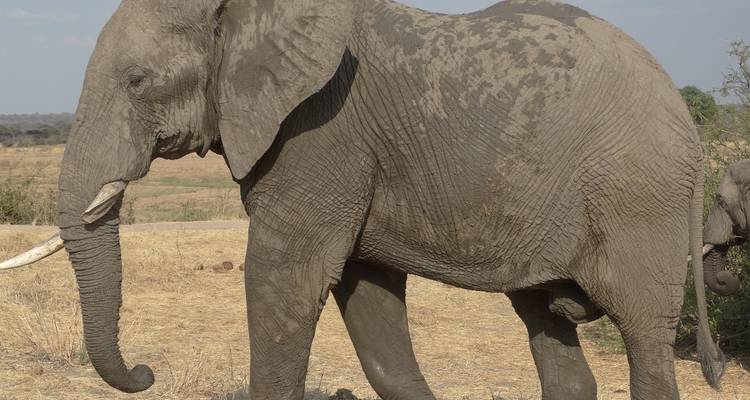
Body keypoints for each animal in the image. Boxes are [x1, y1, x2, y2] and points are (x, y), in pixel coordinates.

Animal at [0, 0, 725, 399]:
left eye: (137, 80)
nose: (147, 372)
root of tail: (686, 120)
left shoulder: (321, 131)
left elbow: (284, 281)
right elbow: (368, 298)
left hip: (639, 198)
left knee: (645, 336)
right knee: (549, 326)